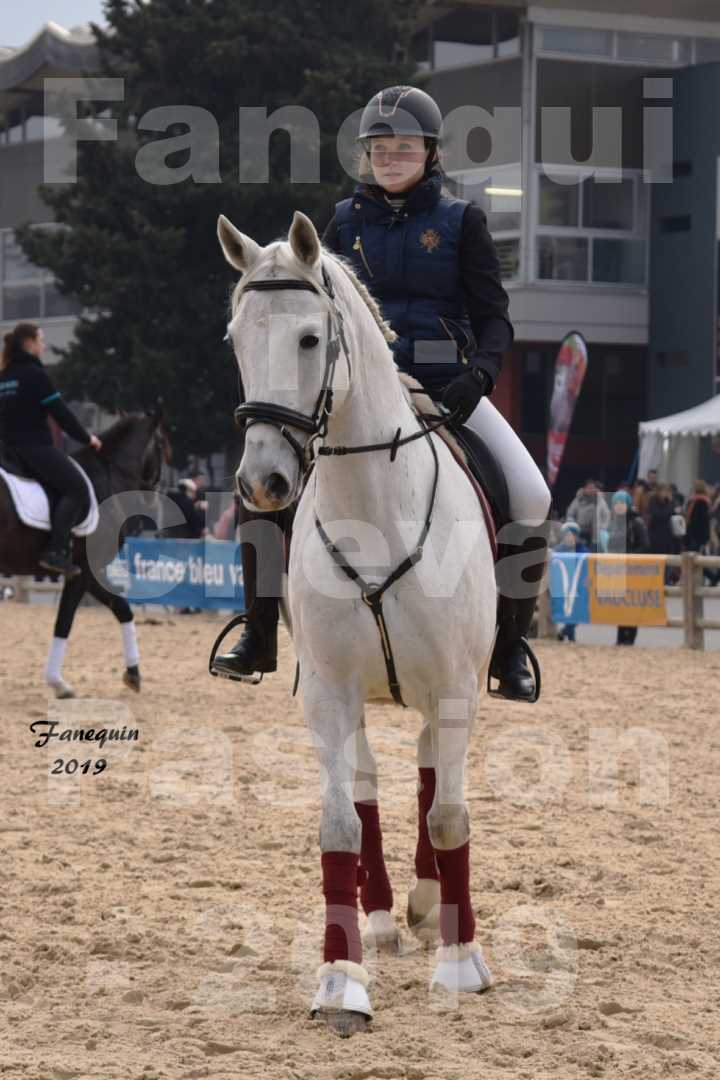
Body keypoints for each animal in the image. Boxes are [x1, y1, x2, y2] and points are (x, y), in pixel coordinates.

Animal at [0, 408, 170, 695]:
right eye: (160, 446)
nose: (153, 501)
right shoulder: (83, 571)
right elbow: (64, 621)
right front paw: (58, 683)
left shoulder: (89, 573)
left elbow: (122, 608)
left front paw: (133, 673)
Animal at [220, 212, 498, 1036]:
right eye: (236, 339)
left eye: (312, 338)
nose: (263, 482)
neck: (375, 508)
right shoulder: (329, 693)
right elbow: (340, 825)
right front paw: (342, 981)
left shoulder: (455, 688)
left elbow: (449, 816)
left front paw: (461, 963)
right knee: (376, 783)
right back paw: (381, 917)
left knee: (432, 774)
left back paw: (432, 906)